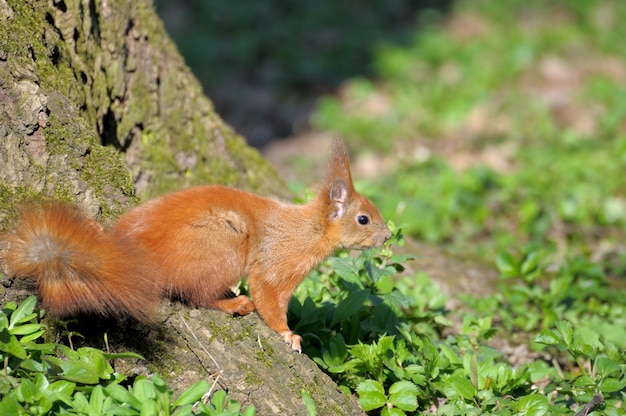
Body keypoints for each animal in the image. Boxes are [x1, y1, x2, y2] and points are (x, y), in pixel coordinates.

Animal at [1, 139, 390, 352]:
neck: (310, 230)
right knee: (198, 295)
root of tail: (129, 253)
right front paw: (288, 334)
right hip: (222, 246)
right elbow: (269, 297)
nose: (388, 237)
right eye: (364, 219)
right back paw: (233, 303)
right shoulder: (278, 262)